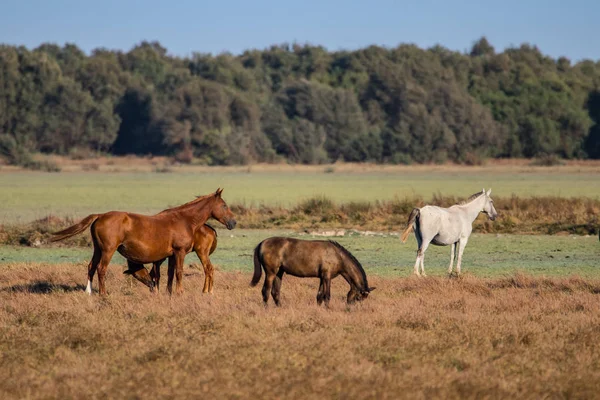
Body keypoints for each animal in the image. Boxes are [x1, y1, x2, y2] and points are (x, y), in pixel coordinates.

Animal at [51, 188, 236, 294]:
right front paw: (179, 293)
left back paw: (88, 293)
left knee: (91, 267)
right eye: (224, 205)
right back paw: (103, 294)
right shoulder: (179, 252)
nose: (233, 222)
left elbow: (168, 275)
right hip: (107, 250)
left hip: (98, 249)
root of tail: (100, 216)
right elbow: (178, 273)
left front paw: (168, 294)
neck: (184, 220)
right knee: (101, 269)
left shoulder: (170, 255)